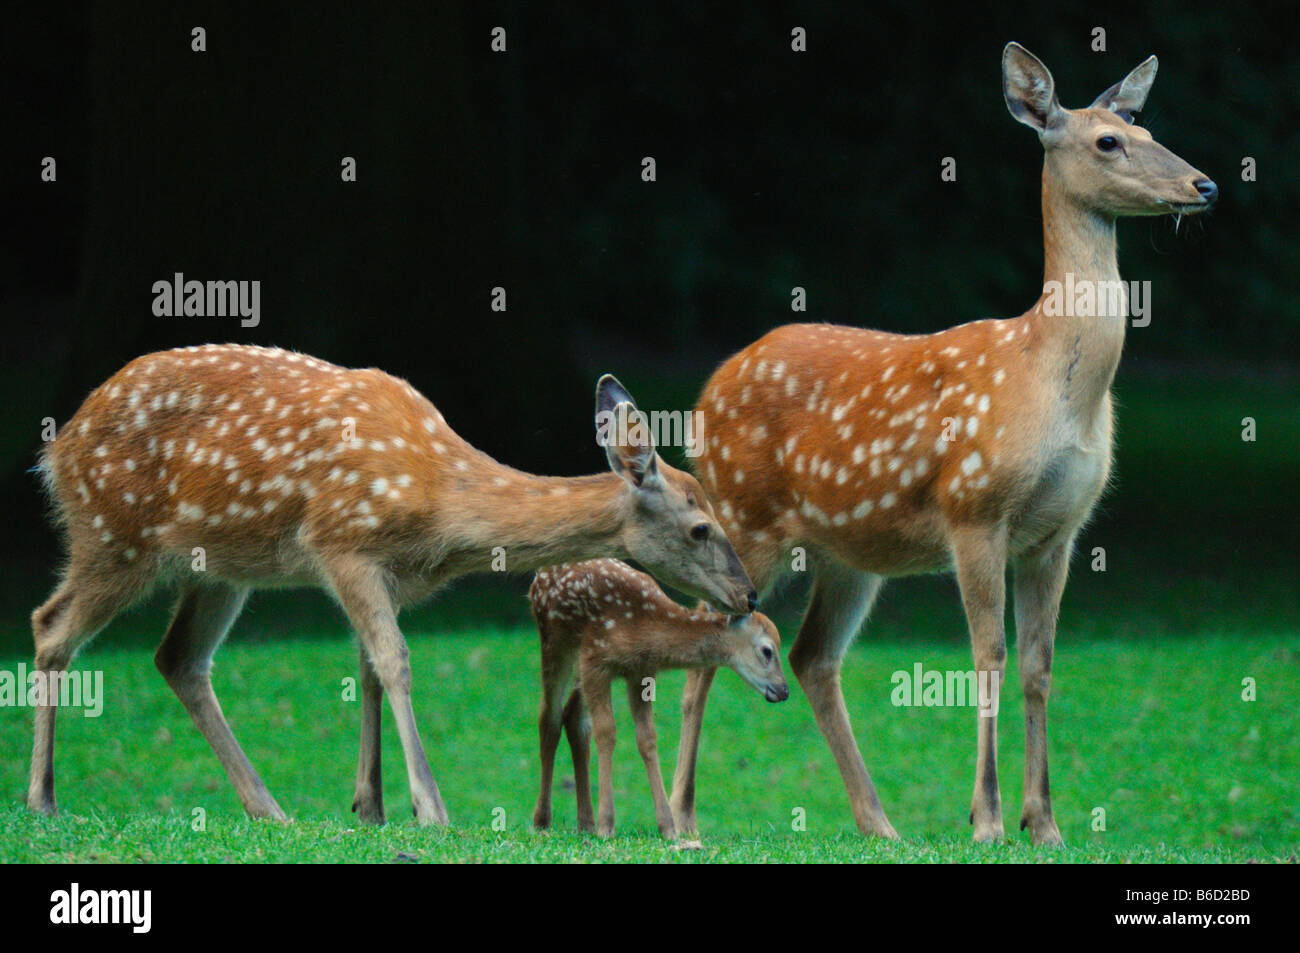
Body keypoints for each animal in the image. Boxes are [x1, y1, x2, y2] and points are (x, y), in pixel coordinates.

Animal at [30, 343, 759, 826]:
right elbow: (396, 661)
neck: (441, 510)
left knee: (177, 657)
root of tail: (56, 448)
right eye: (701, 526)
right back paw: (42, 796)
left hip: (219, 565)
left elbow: (368, 670)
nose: (749, 594)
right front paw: (429, 806)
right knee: (51, 625)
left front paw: (370, 804)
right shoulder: (342, 543)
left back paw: (268, 806)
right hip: (113, 533)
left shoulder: (388, 575)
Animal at [670, 40, 1216, 842]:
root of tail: (705, 395)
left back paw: (879, 823)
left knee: (812, 656)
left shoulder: (1060, 531)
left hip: (847, 551)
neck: (1054, 384)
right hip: (744, 514)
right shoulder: (974, 509)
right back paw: (680, 819)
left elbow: (1039, 664)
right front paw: (986, 819)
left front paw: (1043, 823)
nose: (1203, 183)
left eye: (1147, 128)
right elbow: (988, 655)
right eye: (1108, 142)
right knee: (705, 637)